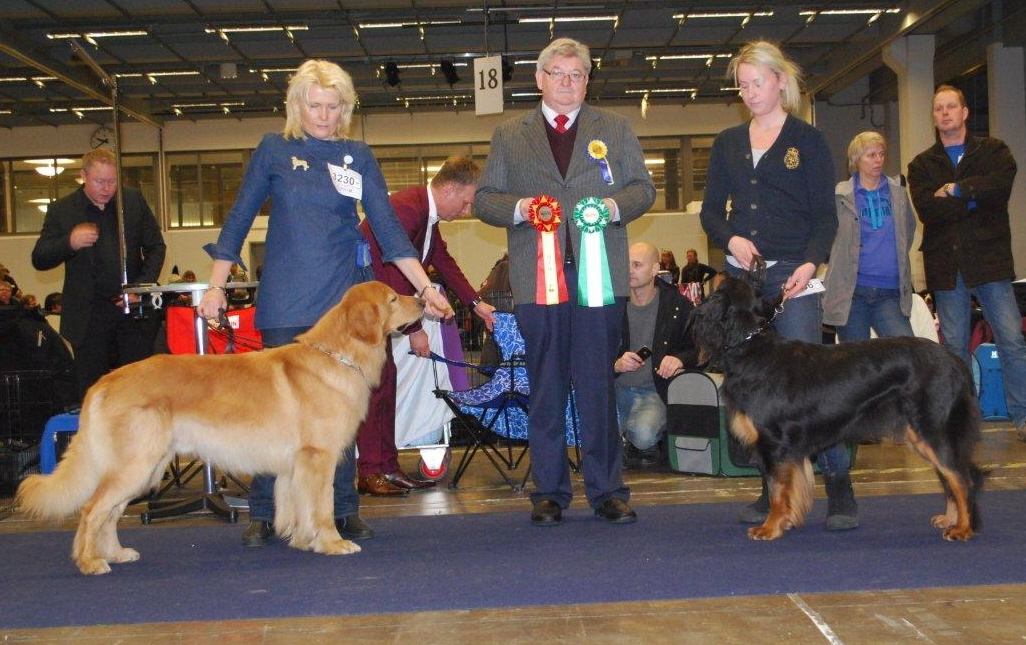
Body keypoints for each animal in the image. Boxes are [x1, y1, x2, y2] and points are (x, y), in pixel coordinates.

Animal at [689, 274, 984, 537]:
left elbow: (777, 491)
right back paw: (950, 519)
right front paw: (785, 522)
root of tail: (954, 361)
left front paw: (770, 528)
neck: (750, 345)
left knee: (961, 478)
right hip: (922, 435)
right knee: (949, 476)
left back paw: (963, 528)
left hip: (933, 430)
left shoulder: (775, 443)